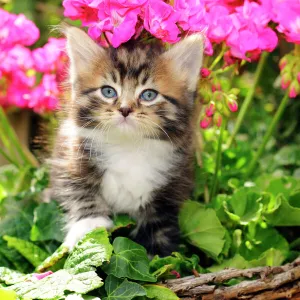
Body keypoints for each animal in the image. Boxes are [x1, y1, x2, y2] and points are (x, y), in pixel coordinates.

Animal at [51, 26, 204, 255]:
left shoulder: (171, 187)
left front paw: (159, 256)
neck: (127, 146)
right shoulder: (70, 157)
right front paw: (89, 226)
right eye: (108, 91)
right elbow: (79, 190)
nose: (124, 109)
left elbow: (160, 231)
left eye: (149, 95)